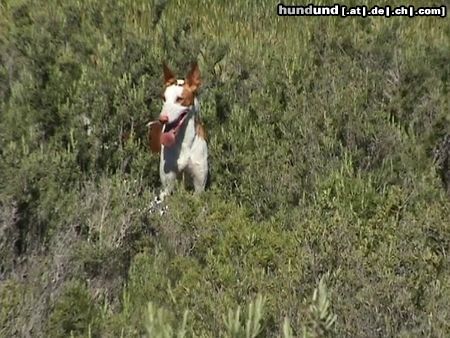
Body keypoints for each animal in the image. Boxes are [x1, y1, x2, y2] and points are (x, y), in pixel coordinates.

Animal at [149, 62, 209, 201]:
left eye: (179, 99)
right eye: (164, 98)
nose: (162, 119)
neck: (185, 141)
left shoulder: (199, 188)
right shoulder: (167, 188)